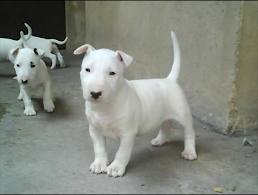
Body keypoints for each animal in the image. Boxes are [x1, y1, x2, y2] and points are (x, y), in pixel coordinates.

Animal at [73, 31, 197, 177]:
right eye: (87, 69)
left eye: (112, 73)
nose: (95, 93)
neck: (106, 106)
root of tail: (169, 80)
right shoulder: (94, 129)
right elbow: (99, 148)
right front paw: (99, 164)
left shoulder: (128, 133)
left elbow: (122, 152)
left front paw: (116, 167)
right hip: (162, 114)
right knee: (166, 125)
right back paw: (159, 140)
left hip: (182, 113)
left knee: (189, 132)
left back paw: (189, 152)